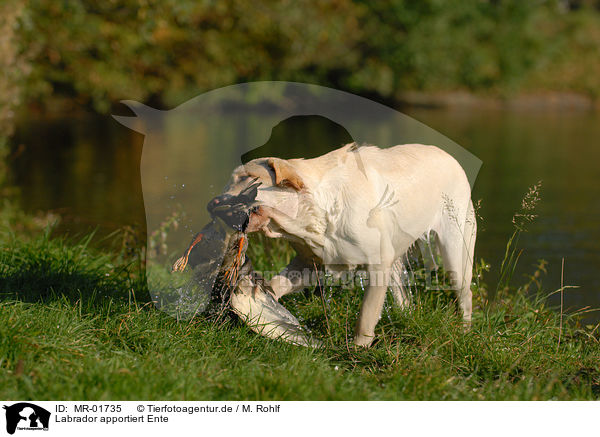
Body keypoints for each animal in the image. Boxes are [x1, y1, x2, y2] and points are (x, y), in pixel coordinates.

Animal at [209, 144, 476, 348]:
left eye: (247, 178)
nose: (211, 203)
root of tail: (451, 157)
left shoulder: (379, 263)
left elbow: (366, 314)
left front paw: (358, 347)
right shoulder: (310, 262)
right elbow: (279, 282)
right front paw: (262, 297)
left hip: (455, 251)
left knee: (465, 293)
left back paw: (464, 331)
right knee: (403, 297)